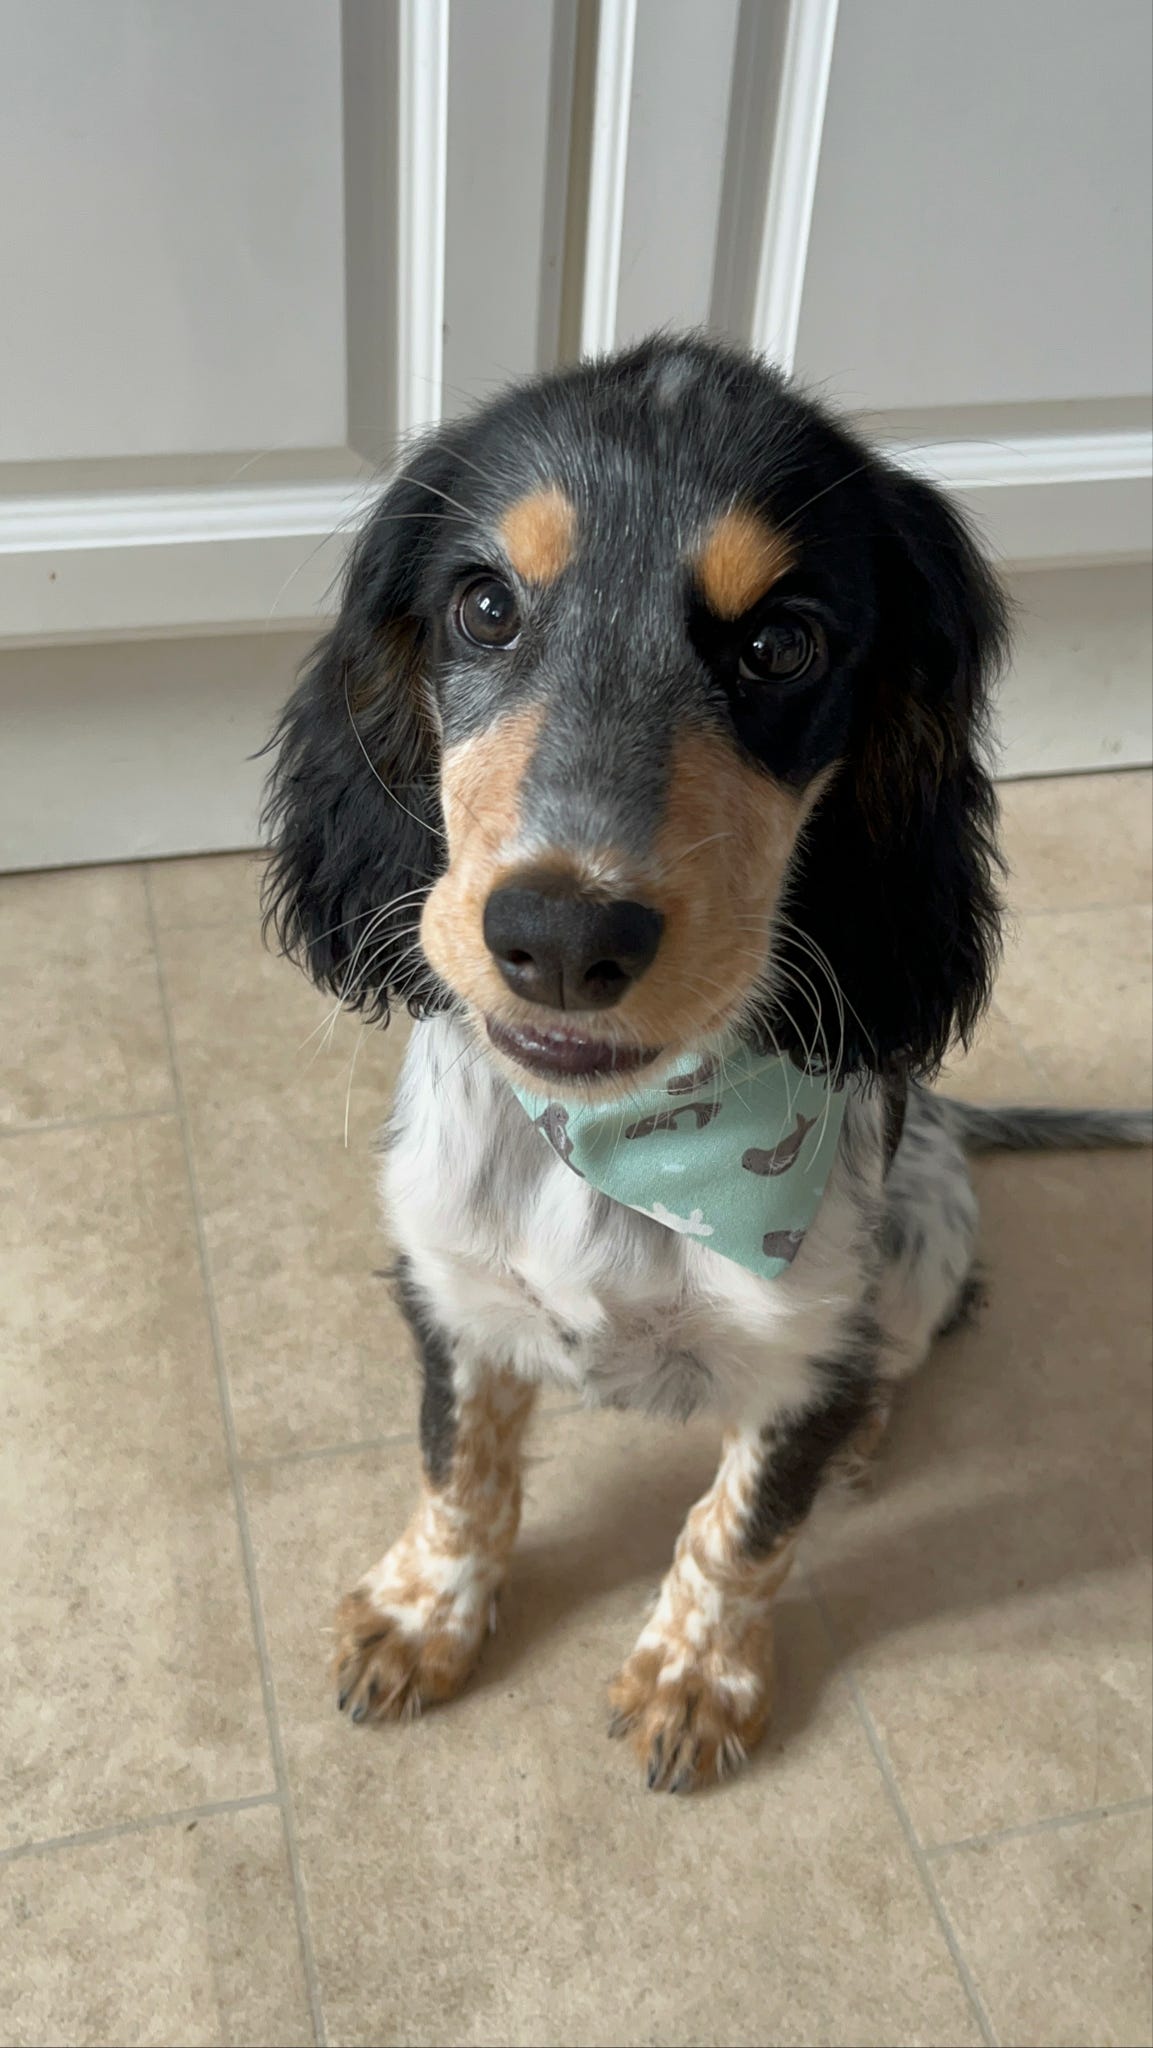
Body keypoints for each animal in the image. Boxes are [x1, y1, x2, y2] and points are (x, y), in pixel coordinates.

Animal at [264, 335, 1153, 1794]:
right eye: (484, 606)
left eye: (781, 644)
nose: (563, 937)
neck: (631, 1134)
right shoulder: (449, 1282)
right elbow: (460, 1469)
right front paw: (423, 1614)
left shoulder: (806, 1338)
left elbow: (740, 1525)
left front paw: (694, 1675)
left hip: (926, 1240)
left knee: (903, 1350)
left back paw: (865, 1438)